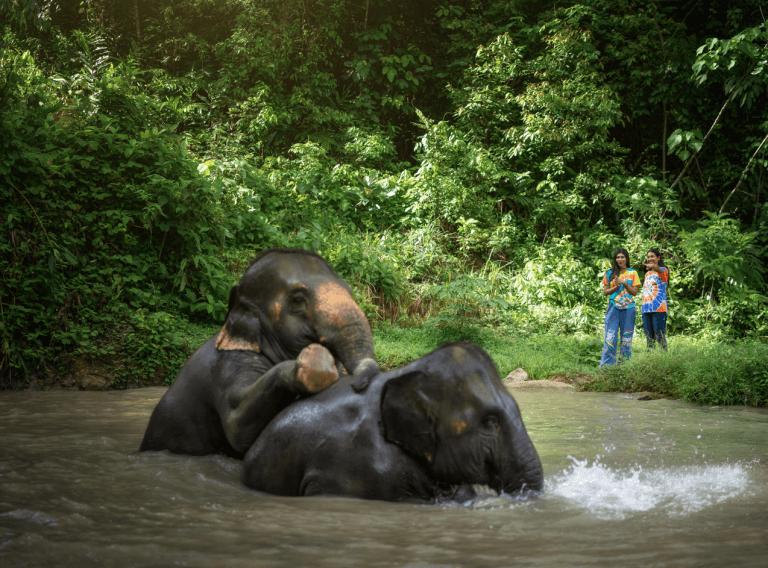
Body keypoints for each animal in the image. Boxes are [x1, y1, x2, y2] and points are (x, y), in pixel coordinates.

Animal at [140, 248, 380, 458]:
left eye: (349, 291)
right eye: (298, 300)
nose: (359, 384)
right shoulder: (228, 365)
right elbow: (237, 426)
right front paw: (315, 363)